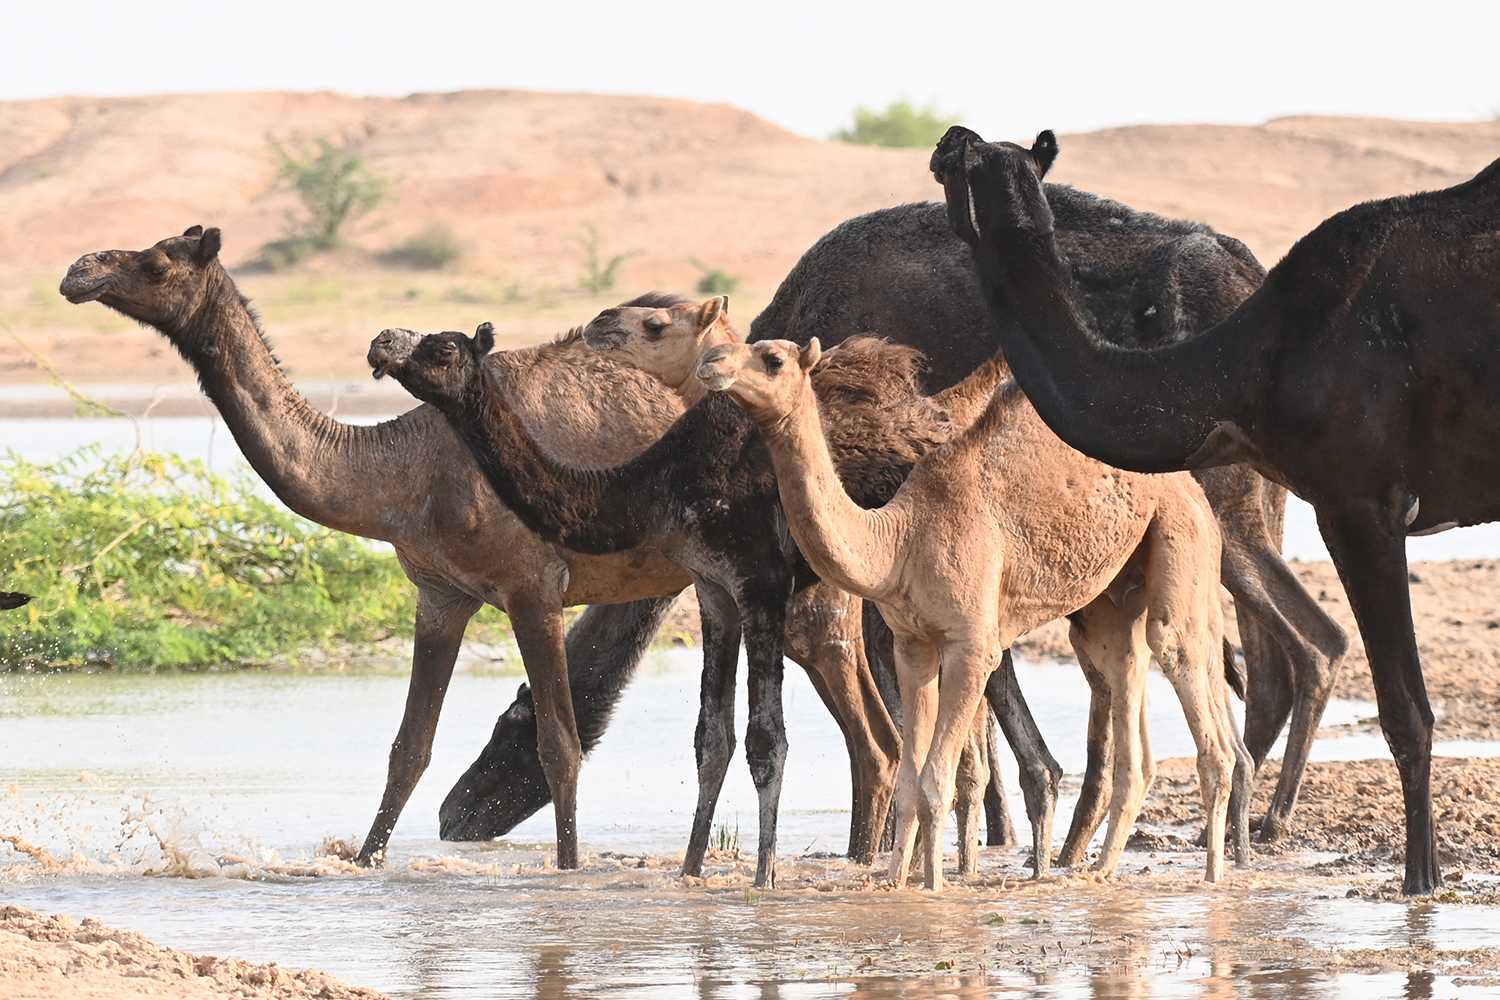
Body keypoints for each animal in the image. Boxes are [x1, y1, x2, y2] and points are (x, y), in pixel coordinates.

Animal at [368, 319, 1002, 885]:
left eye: (444, 349)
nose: (382, 343)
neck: (663, 482)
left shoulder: (759, 578)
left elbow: (766, 739)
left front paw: (764, 878)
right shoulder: (711, 585)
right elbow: (710, 738)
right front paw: (691, 872)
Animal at [697, 338, 1240, 890]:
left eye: (773, 359)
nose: (711, 363)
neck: (898, 540)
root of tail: (1194, 489)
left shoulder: (971, 645)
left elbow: (938, 780)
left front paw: (936, 887)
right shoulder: (912, 644)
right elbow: (911, 780)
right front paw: (896, 885)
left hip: (1179, 536)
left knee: (1188, 682)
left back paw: (1215, 876)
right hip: (1115, 596)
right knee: (1124, 677)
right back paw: (1100, 872)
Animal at [747, 193, 1347, 849]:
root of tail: (1248, 271)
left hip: (1223, 516)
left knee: (1307, 645)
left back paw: (1254, 820)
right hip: (1241, 516)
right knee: (1265, 663)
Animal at [934, 126, 1500, 896]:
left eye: (959, 163)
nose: (944, 141)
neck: (1243, 373)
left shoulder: (1360, 502)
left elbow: (1406, 712)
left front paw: (1422, 885)